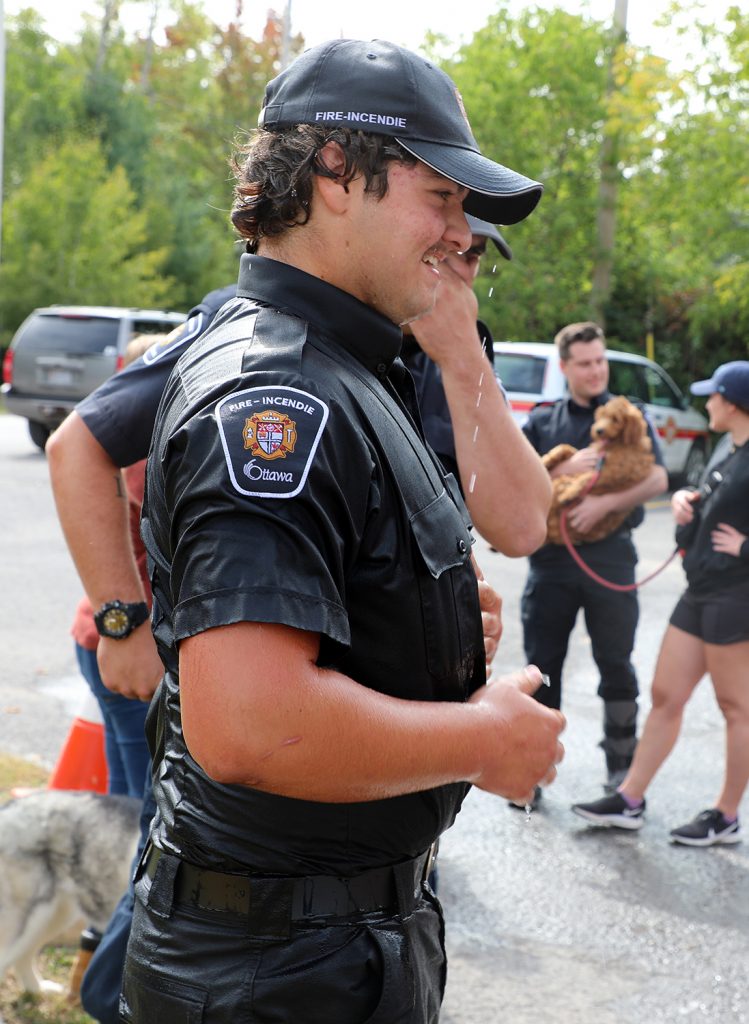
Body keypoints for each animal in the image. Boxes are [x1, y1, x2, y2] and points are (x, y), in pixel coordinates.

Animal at [541, 395, 651, 548]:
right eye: (602, 416)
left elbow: (587, 477)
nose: (598, 430)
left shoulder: (615, 470)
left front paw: (569, 493)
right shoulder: (591, 455)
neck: (612, 445)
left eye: (615, 419)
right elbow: (565, 448)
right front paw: (544, 460)